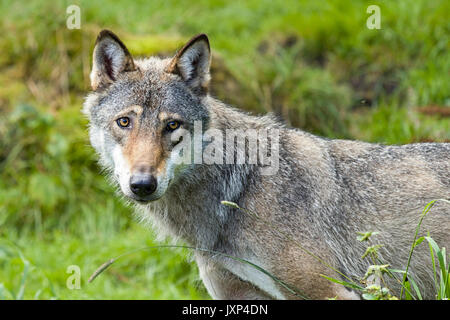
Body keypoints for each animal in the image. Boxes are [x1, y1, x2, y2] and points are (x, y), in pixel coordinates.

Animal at [82, 30, 448, 300]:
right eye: (124, 122)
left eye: (172, 126)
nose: (143, 184)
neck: (238, 192)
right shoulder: (236, 294)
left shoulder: (330, 292)